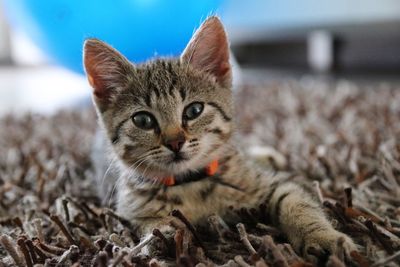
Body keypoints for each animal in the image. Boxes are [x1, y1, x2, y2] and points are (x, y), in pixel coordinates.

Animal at [83, 16, 356, 264]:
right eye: (143, 120)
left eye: (194, 110)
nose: (175, 143)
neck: (189, 183)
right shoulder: (130, 210)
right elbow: (149, 225)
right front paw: (160, 236)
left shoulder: (271, 185)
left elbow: (296, 203)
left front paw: (323, 238)